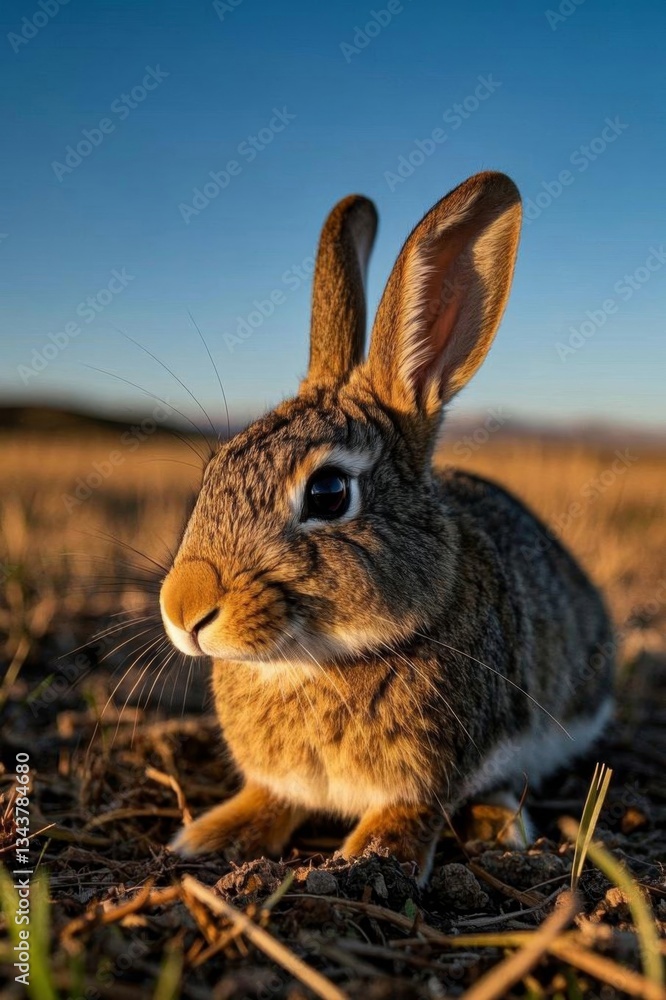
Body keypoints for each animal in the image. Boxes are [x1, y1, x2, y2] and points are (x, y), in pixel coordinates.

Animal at [160, 171, 615, 883]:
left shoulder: (426, 776)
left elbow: (410, 812)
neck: (314, 660)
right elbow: (270, 797)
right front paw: (209, 835)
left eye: (328, 492)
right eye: (216, 469)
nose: (183, 610)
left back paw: (499, 825)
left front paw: (372, 861)